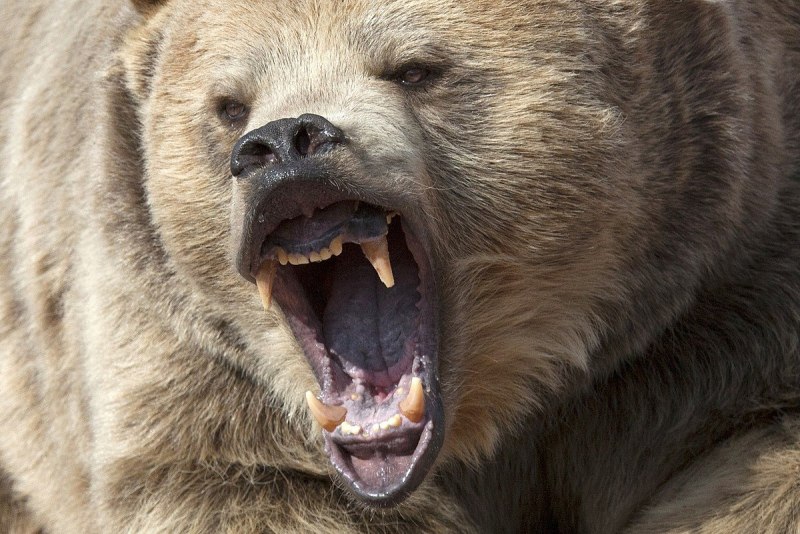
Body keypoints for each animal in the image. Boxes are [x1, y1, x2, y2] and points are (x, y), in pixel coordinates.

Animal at [1, 0, 800, 531]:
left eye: (414, 68)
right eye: (228, 104)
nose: (285, 145)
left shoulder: (719, 292)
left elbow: (758, 455)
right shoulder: (190, 359)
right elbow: (240, 479)